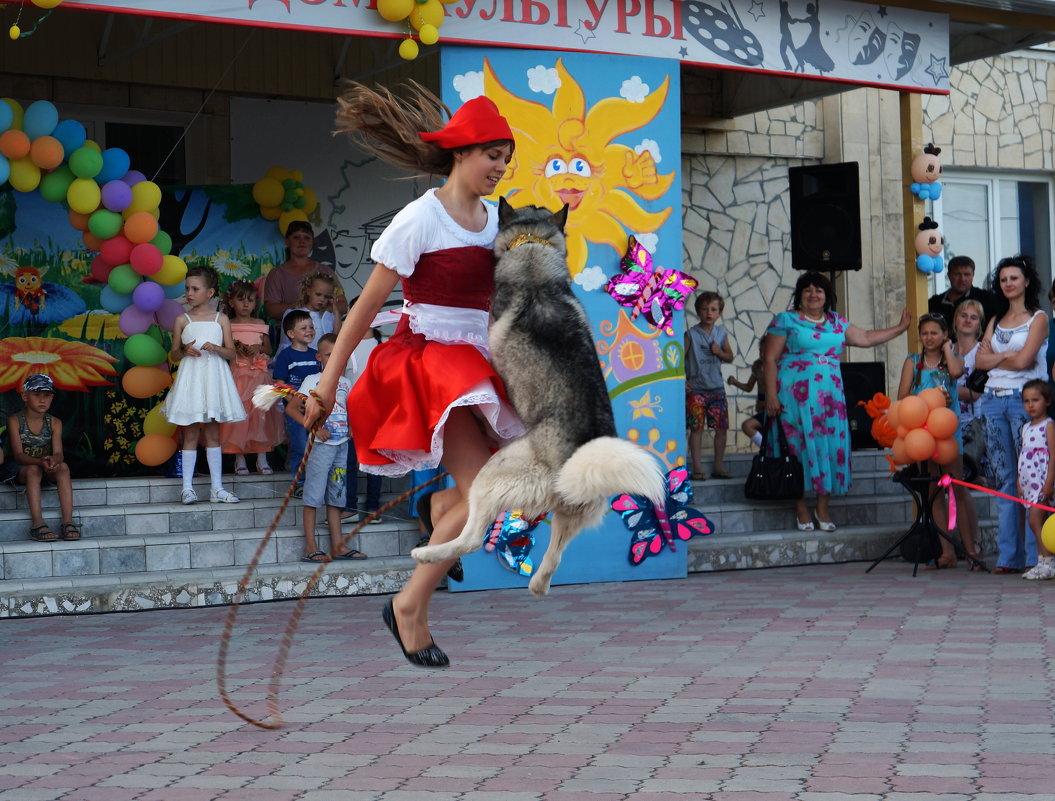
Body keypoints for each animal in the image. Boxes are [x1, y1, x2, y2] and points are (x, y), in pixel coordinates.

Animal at [409, 197, 662, 595]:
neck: (532, 245)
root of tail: (576, 464)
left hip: (493, 475)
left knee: (471, 538)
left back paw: (429, 554)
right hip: (564, 514)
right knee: (550, 565)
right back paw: (536, 583)